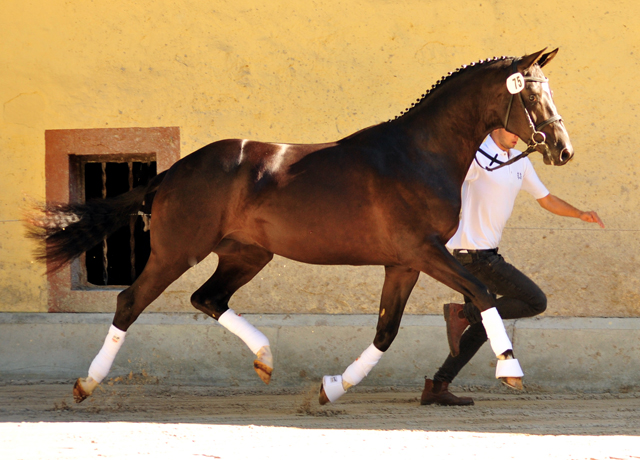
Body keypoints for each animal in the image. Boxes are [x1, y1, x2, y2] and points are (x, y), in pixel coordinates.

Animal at [27, 48, 572, 404]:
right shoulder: (424, 251)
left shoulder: (403, 263)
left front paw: (332, 388)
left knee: (208, 298)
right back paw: (86, 384)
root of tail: (171, 172)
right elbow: (481, 292)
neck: (418, 155)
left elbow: (386, 330)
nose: (562, 149)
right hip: (176, 252)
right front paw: (510, 369)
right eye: (532, 97)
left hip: (247, 253)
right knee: (130, 302)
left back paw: (265, 358)